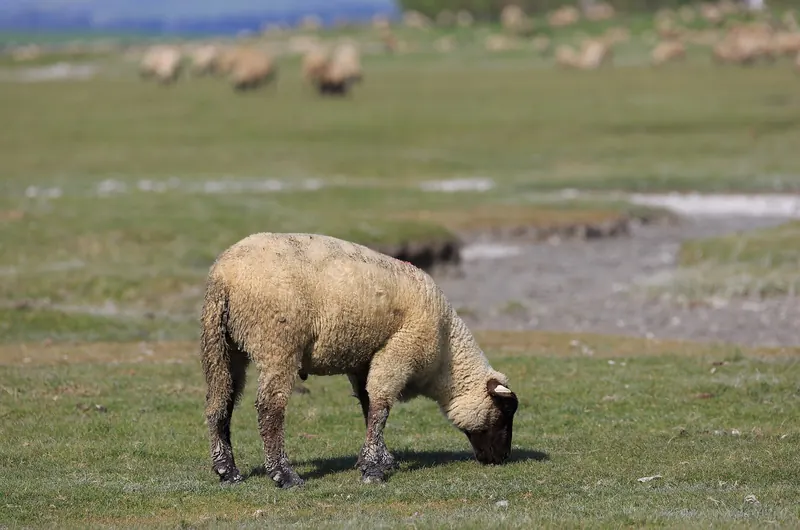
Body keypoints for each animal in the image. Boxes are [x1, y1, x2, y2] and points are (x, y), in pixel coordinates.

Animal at [200, 232, 519, 488]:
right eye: (505, 411)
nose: (502, 458)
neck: (446, 356)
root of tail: (225, 276)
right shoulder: (400, 350)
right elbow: (380, 406)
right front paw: (372, 469)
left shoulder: (364, 360)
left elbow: (369, 406)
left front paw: (382, 457)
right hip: (277, 342)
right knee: (269, 409)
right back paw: (284, 474)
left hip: (220, 342)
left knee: (219, 403)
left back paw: (227, 471)